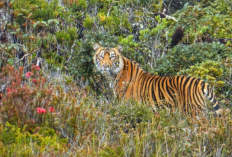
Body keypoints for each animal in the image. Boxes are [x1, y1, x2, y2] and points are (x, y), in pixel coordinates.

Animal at [93, 43, 223, 115]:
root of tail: (199, 81)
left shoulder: (127, 105)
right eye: (101, 56)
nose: (105, 65)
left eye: (112, 57)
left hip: (194, 111)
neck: (113, 75)